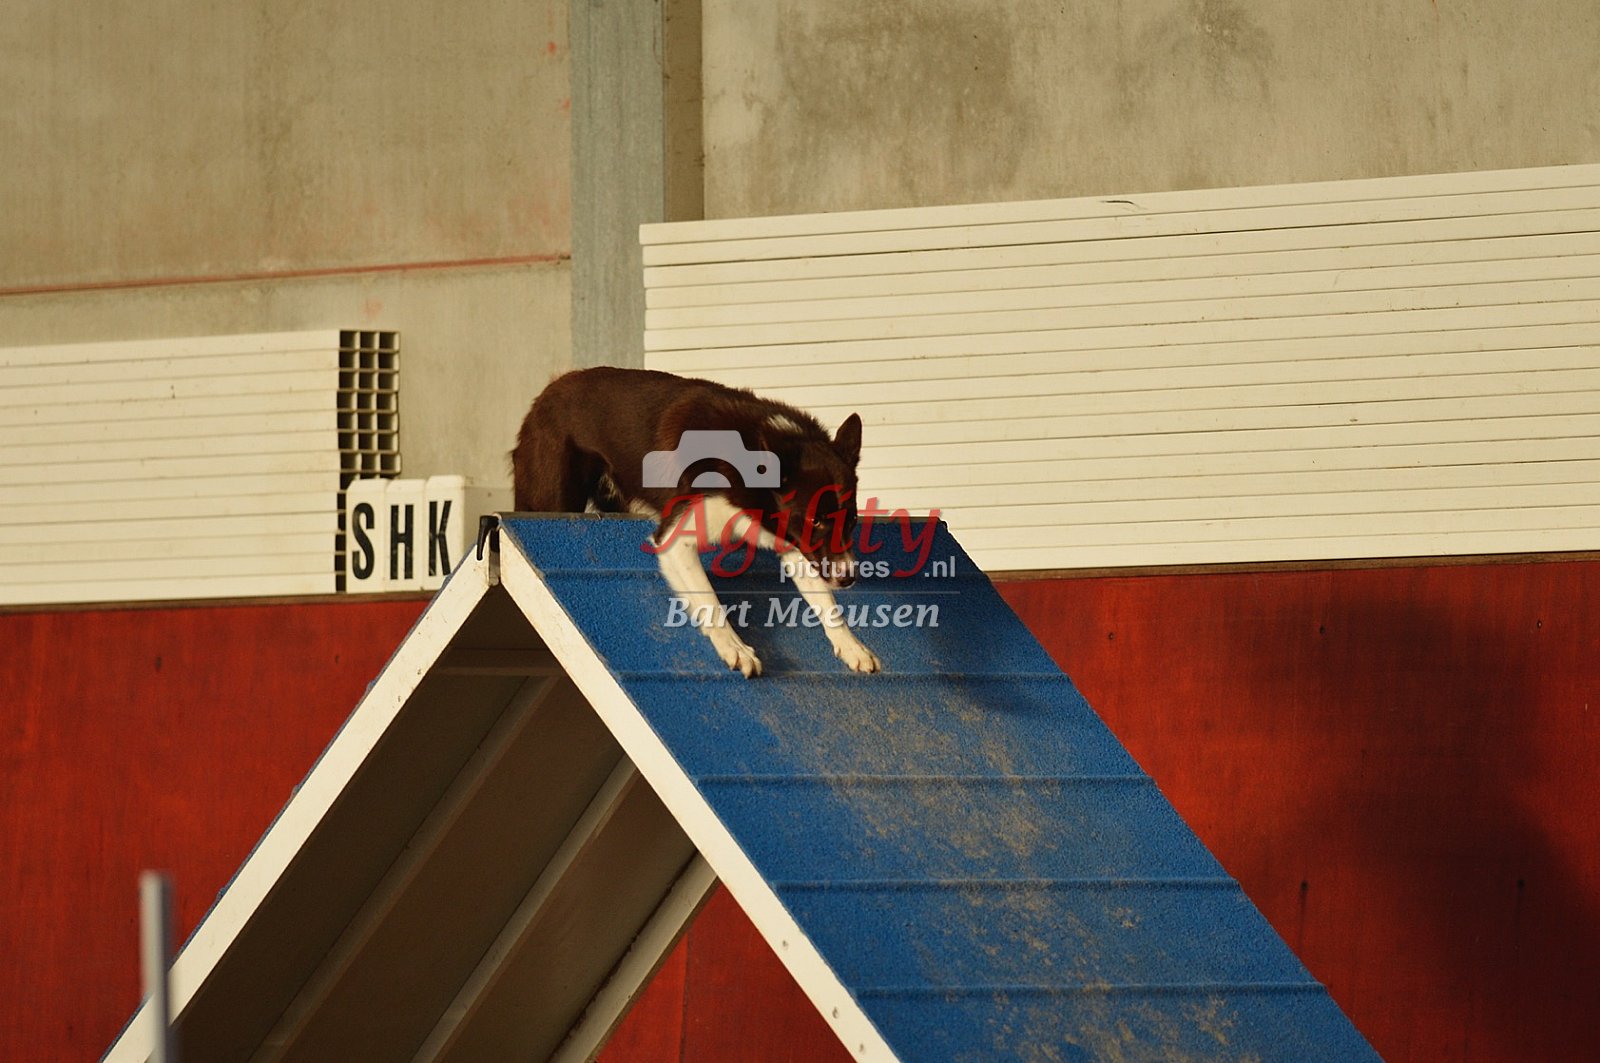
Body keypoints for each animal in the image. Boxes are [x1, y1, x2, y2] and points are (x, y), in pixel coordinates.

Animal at [511, 367, 880, 677]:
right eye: (815, 520)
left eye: (852, 520)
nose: (849, 578)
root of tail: (548, 390)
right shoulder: (676, 537)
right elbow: (709, 599)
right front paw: (735, 648)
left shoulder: (793, 541)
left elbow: (824, 599)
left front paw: (852, 647)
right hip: (551, 496)